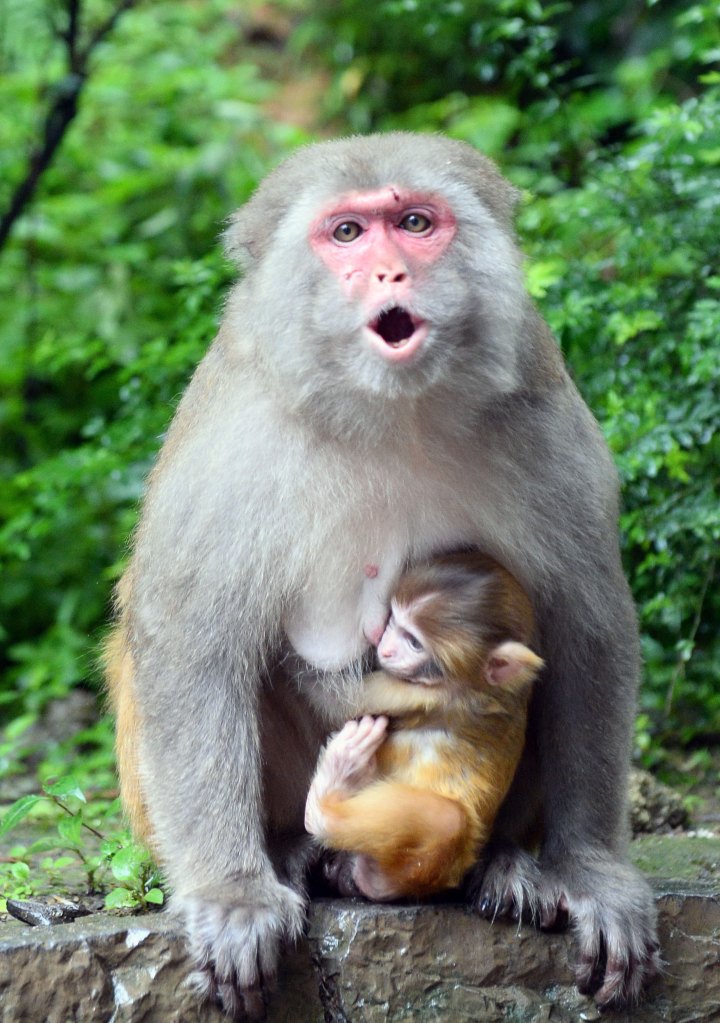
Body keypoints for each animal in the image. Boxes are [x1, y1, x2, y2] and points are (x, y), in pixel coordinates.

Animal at [304, 551, 544, 901]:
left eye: (415, 642)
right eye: (393, 621)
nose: (385, 648)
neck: (482, 686)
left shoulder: (431, 693)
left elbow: (334, 701)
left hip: (421, 868)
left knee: (448, 822)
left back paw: (332, 790)